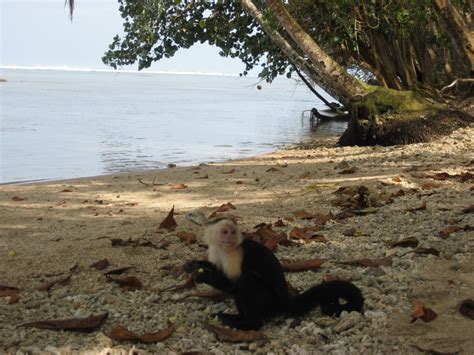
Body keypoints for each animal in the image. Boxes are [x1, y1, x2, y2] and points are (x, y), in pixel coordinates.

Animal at [183, 217, 364, 330]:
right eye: (225, 232)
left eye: (232, 233)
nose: (230, 238)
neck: (224, 249)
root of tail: (284, 302)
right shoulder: (215, 250)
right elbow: (217, 269)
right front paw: (195, 264)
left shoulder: (236, 253)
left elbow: (233, 284)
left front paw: (203, 276)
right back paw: (239, 318)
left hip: (270, 301)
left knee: (246, 281)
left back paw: (250, 324)